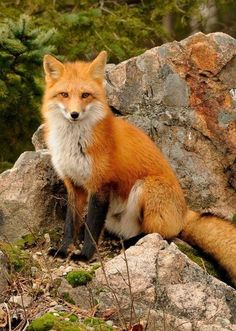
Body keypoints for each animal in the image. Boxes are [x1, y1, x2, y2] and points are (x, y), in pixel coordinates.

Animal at [41, 51, 236, 286]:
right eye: (64, 94)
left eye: (85, 95)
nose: (74, 114)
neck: (74, 143)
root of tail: (184, 210)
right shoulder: (74, 185)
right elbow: (70, 224)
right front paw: (63, 250)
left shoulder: (100, 185)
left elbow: (92, 229)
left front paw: (85, 255)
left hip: (146, 187)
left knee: (160, 234)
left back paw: (130, 243)